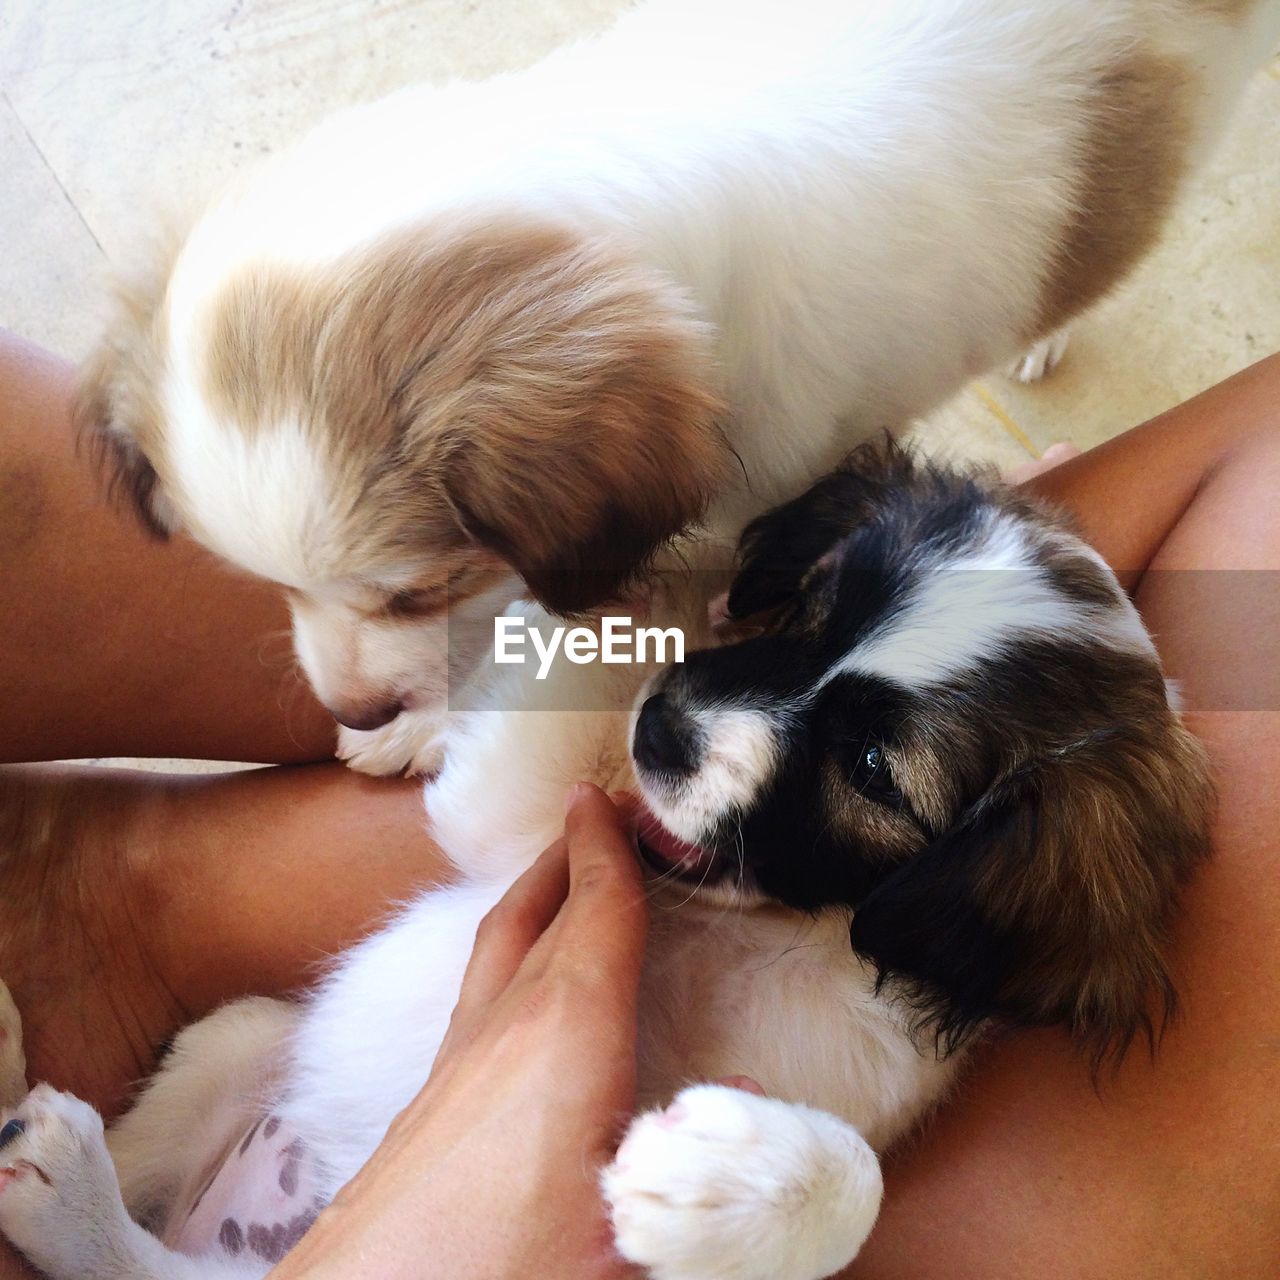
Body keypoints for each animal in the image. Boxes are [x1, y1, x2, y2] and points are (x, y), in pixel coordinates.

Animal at [0, 442, 1208, 1280]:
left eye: (871, 769)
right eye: (810, 604)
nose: (662, 729)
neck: (740, 934)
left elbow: (859, 1180)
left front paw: (720, 1179)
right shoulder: (525, 824)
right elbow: (574, 650)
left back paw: (63, 1190)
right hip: (241, 1039)